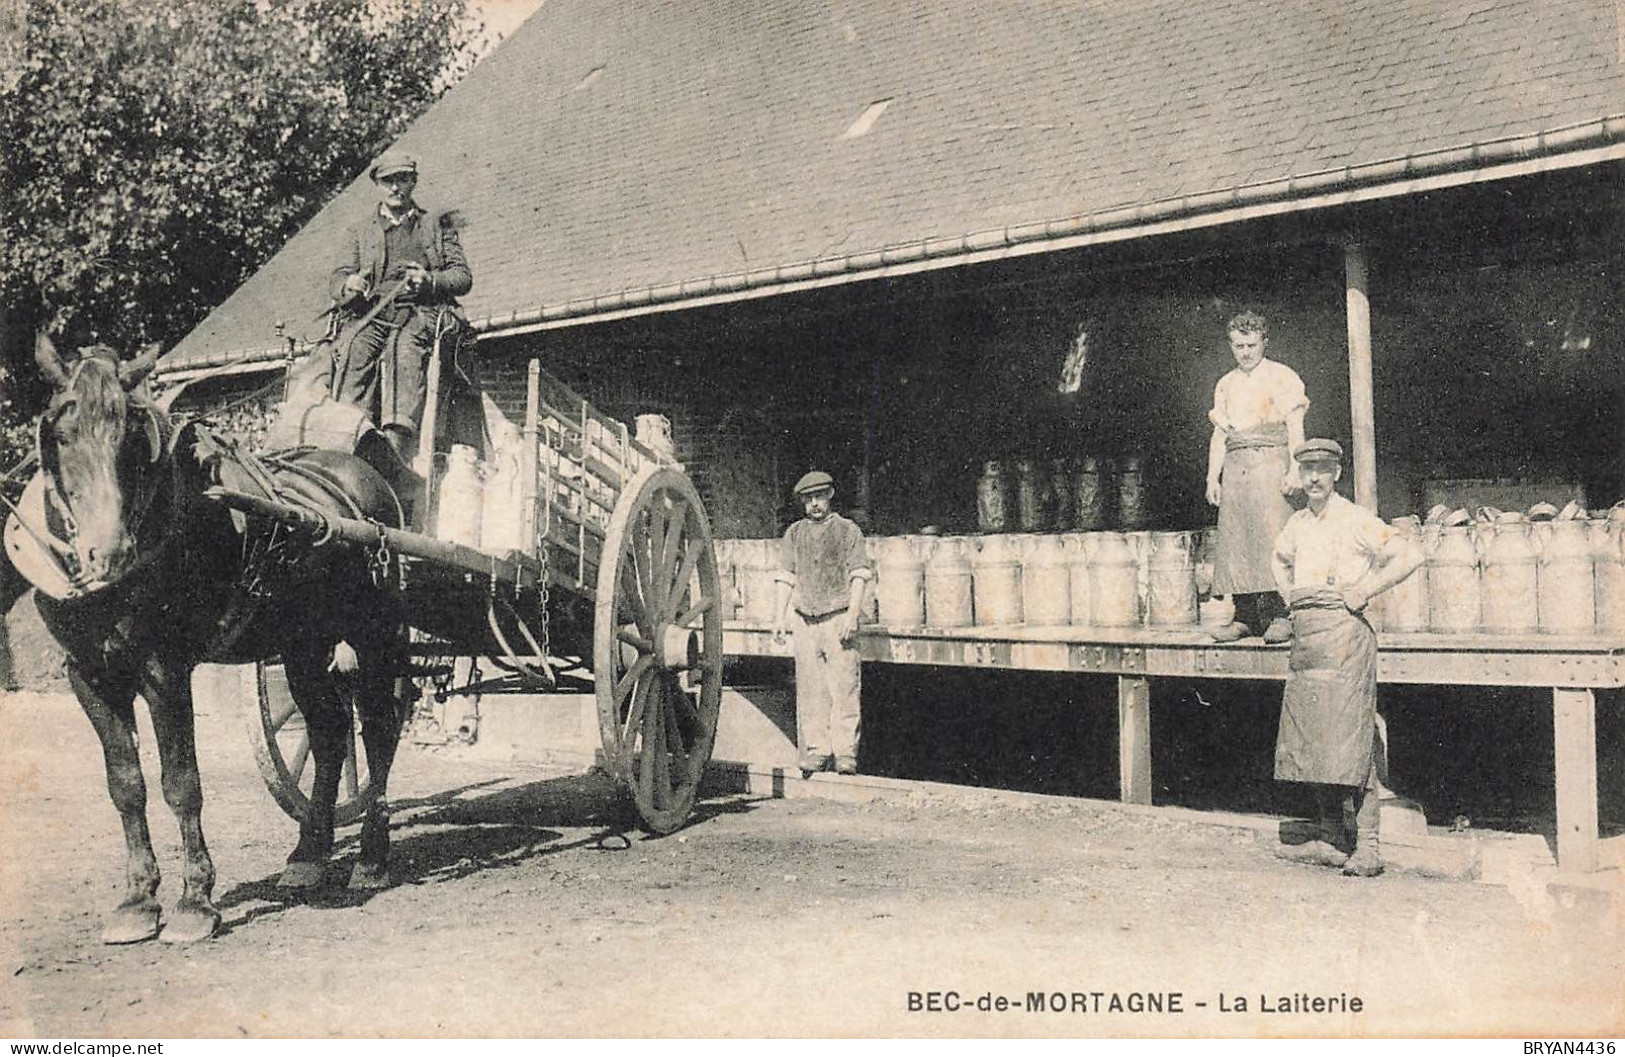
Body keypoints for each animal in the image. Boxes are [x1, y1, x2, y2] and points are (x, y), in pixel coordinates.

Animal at [18, 333, 409, 943]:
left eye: (133, 440)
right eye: (62, 434)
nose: (109, 554)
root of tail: (361, 477)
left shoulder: (164, 669)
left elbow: (181, 782)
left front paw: (194, 902)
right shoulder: (89, 674)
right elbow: (125, 784)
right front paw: (137, 901)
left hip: (372, 634)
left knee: (376, 730)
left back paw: (370, 856)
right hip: (303, 642)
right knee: (327, 732)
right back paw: (308, 855)